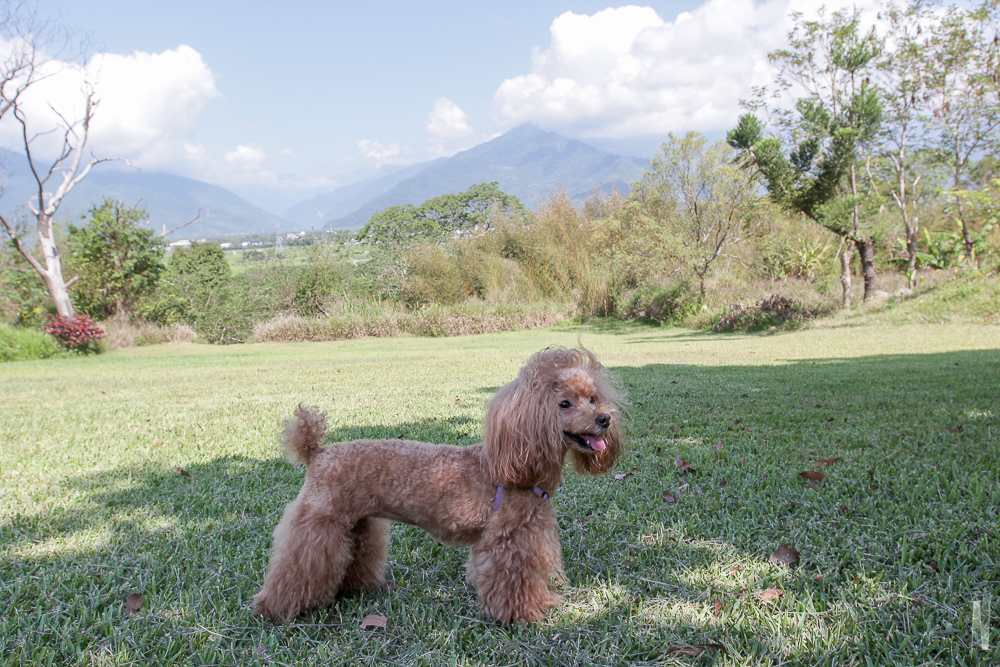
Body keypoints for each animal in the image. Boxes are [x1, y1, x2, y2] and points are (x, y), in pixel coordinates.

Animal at [252, 348, 624, 624]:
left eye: (592, 398)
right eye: (564, 404)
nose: (604, 418)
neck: (514, 466)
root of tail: (317, 451)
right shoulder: (509, 541)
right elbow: (513, 583)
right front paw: (522, 615)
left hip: (356, 522)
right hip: (318, 522)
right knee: (296, 566)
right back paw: (275, 608)